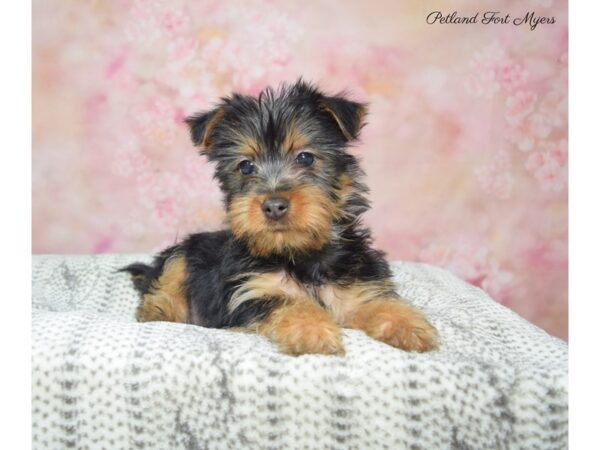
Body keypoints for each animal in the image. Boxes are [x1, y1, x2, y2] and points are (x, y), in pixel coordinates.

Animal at [123, 80, 440, 356]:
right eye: (246, 166)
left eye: (305, 157)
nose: (274, 205)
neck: (299, 253)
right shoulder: (254, 290)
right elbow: (291, 303)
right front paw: (312, 331)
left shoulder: (358, 282)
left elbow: (376, 301)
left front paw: (409, 325)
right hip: (184, 251)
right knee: (166, 279)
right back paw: (158, 310)